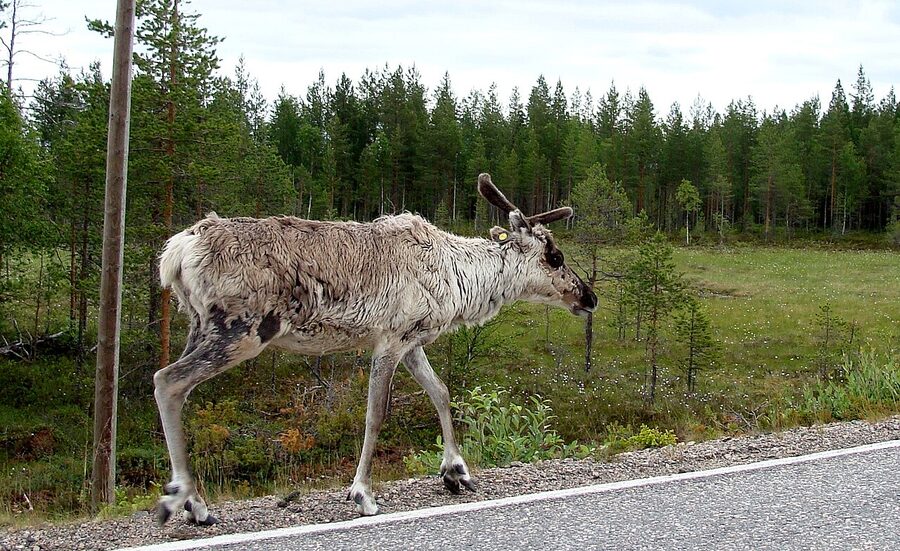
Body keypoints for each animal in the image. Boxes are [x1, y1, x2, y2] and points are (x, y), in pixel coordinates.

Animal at [153, 173, 597, 525]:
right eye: (554, 256)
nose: (589, 297)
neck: (460, 279)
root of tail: (176, 252)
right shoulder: (390, 338)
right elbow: (376, 414)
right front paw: (362, 493)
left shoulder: (414, 342)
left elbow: (441, 393)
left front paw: (455, 470)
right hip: (242, 330)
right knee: (166, 380)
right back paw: (187, 500)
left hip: (199, 326)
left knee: (174, 385)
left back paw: (192, 500)